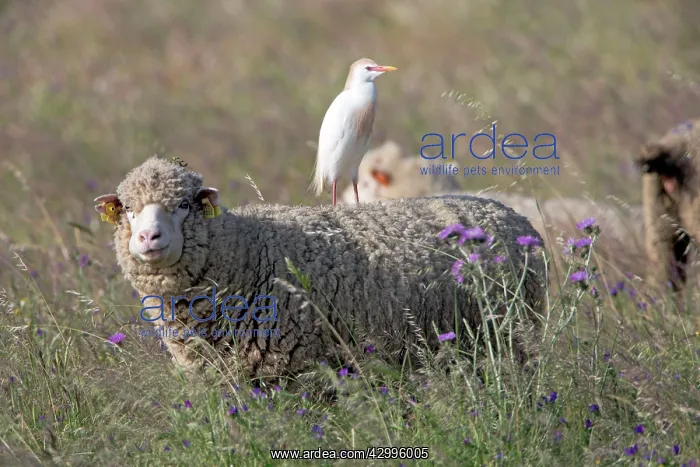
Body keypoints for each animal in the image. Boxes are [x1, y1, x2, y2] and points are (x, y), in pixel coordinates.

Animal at [95, 156, 547, 380]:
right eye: (129, 209)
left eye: (185, 204)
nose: (148, 238)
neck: (244, 251)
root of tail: (512, 216)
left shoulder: (301, 373)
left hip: (513, 339)